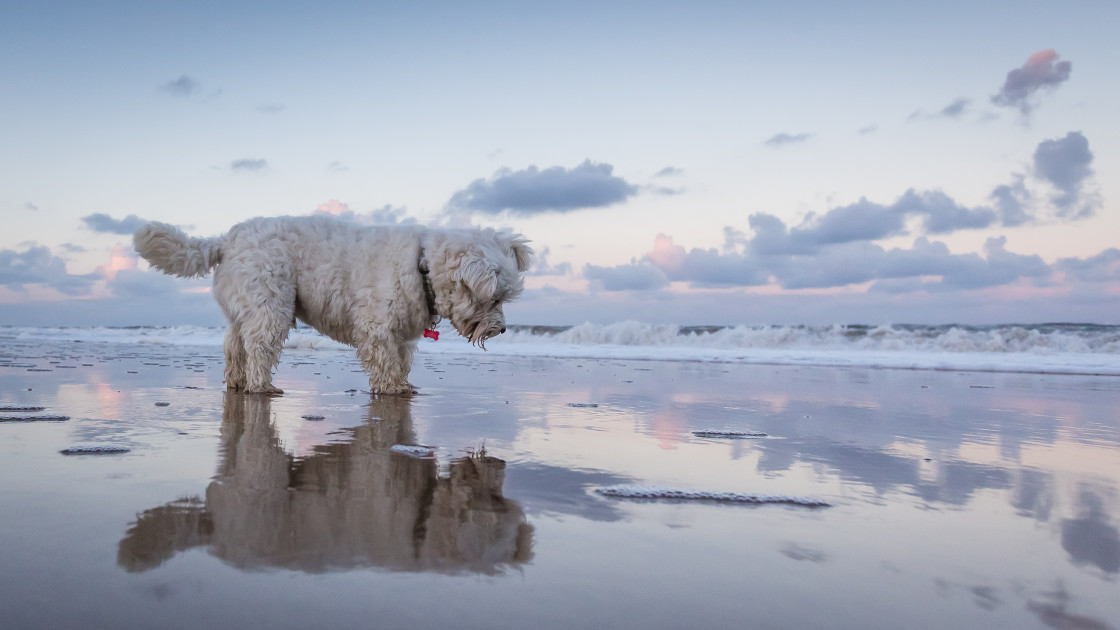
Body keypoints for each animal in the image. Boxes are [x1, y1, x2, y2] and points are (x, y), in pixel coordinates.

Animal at [133, 215, 530, 392]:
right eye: (495, 298)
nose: (503, 330)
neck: (423, 265)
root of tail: (227, 239)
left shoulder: (402, 335)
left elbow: (401, 361)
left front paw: (404, 385)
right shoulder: (376, 329)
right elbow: (386, 363)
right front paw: (394, 390)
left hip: (244, 306)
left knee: (235, 345)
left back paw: (237, 382)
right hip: (270, 304)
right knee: (259, 347)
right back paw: (261, 387)